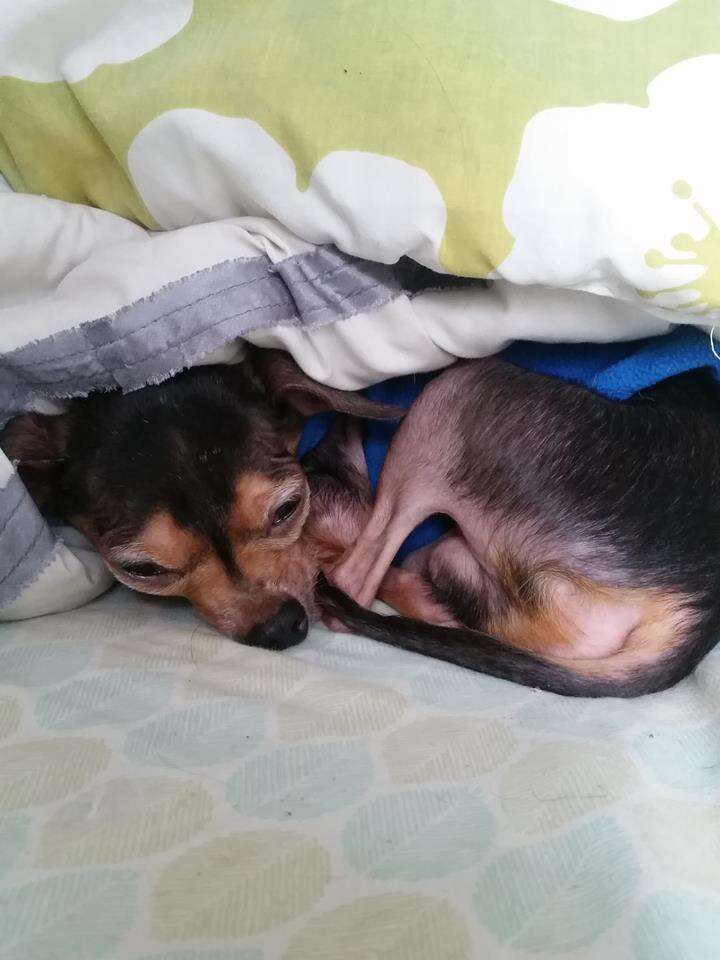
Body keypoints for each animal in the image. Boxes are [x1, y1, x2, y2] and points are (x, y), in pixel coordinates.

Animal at [1, 348, 720, 692]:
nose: (281, 629)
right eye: (142, 570)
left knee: (359, 581)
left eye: (287, 508)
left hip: (456, 390)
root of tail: (698, 604)